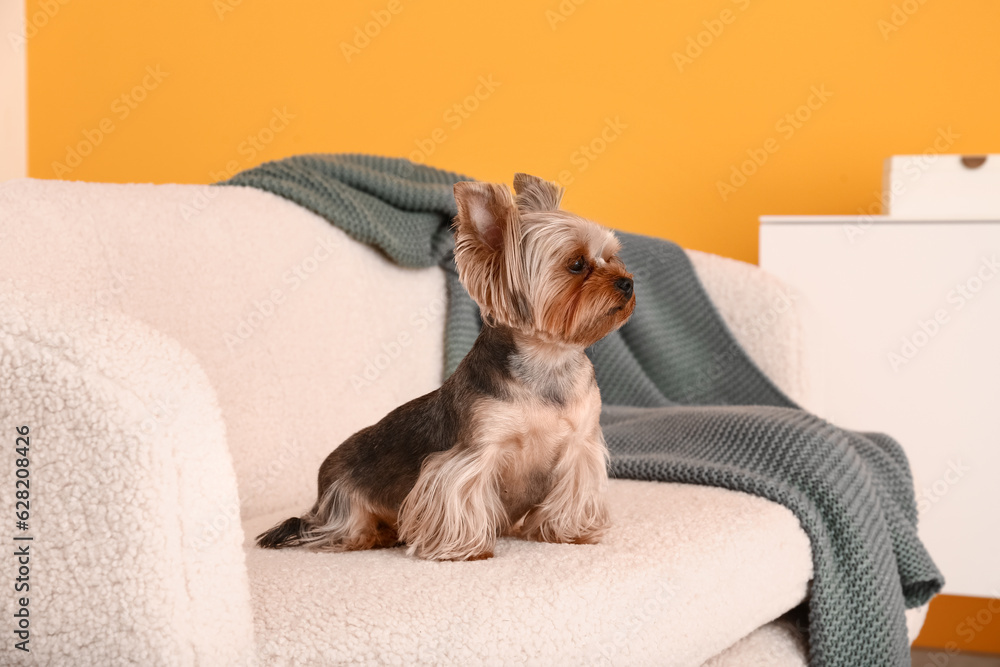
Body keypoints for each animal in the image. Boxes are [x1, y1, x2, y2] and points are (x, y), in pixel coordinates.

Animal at [256, 175, 632, 560]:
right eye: (577, 264)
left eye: (612, 258)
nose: (627, 282)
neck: (547, 359)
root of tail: (318, 493)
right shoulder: (473, 452)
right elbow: (461, 493)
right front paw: (466, 549)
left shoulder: (581, 444)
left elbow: (575, 489)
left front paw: (571, 532)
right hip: (343, 501)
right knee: (340, 527)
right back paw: (370, 535)